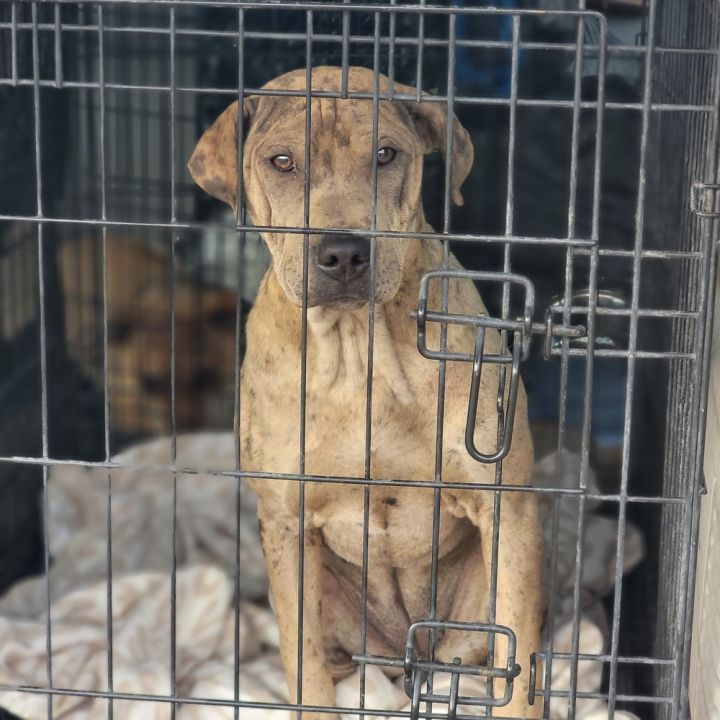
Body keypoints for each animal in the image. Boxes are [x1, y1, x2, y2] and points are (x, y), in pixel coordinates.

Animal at [188, 66, 544, 716]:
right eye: (281, 161)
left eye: (385, 154)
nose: (344, 252)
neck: (361, 351)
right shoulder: (286, 521)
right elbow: (300, 659)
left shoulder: (506, 506)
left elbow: (521, 652)